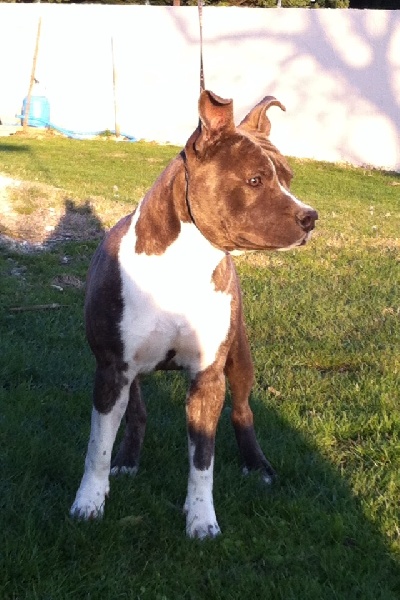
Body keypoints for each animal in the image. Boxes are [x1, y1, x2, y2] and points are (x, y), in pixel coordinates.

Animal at [70, 90, 318, 539]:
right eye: (255, 180)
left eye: (288, 179)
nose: (310, 217)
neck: (183, 263)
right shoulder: (112, 368)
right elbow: (97, 447)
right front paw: (88, 502)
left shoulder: (208, 377)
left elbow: (203, 458)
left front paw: (202, 519)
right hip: (131, 373)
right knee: (137, 413)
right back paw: (128, 459)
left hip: (239, 357)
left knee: (243, 410)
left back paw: (257, 464)